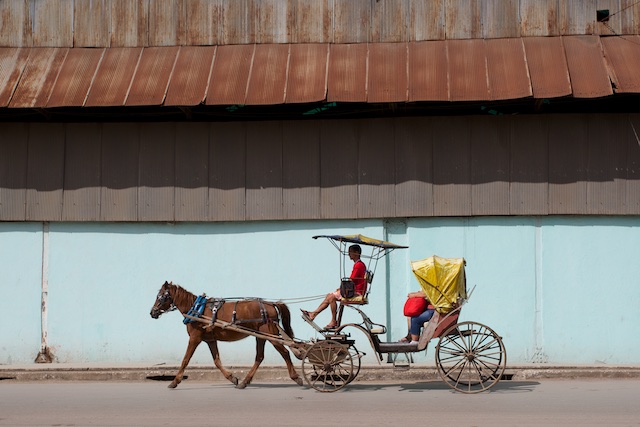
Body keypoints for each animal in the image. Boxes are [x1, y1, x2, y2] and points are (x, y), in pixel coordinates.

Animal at [149, 282, 304, 390]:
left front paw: (174, 381)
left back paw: (296, 378)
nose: (152, 312)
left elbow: (185, 360)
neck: (196, 309)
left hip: (270, 334)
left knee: (284, 352)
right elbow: (217, 361)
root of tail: (270, 303)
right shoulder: (210, 340)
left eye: (160, 296)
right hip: (261, 336)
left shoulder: (195, 338)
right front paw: (232, 378)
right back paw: (244, 382)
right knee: (259, 357)